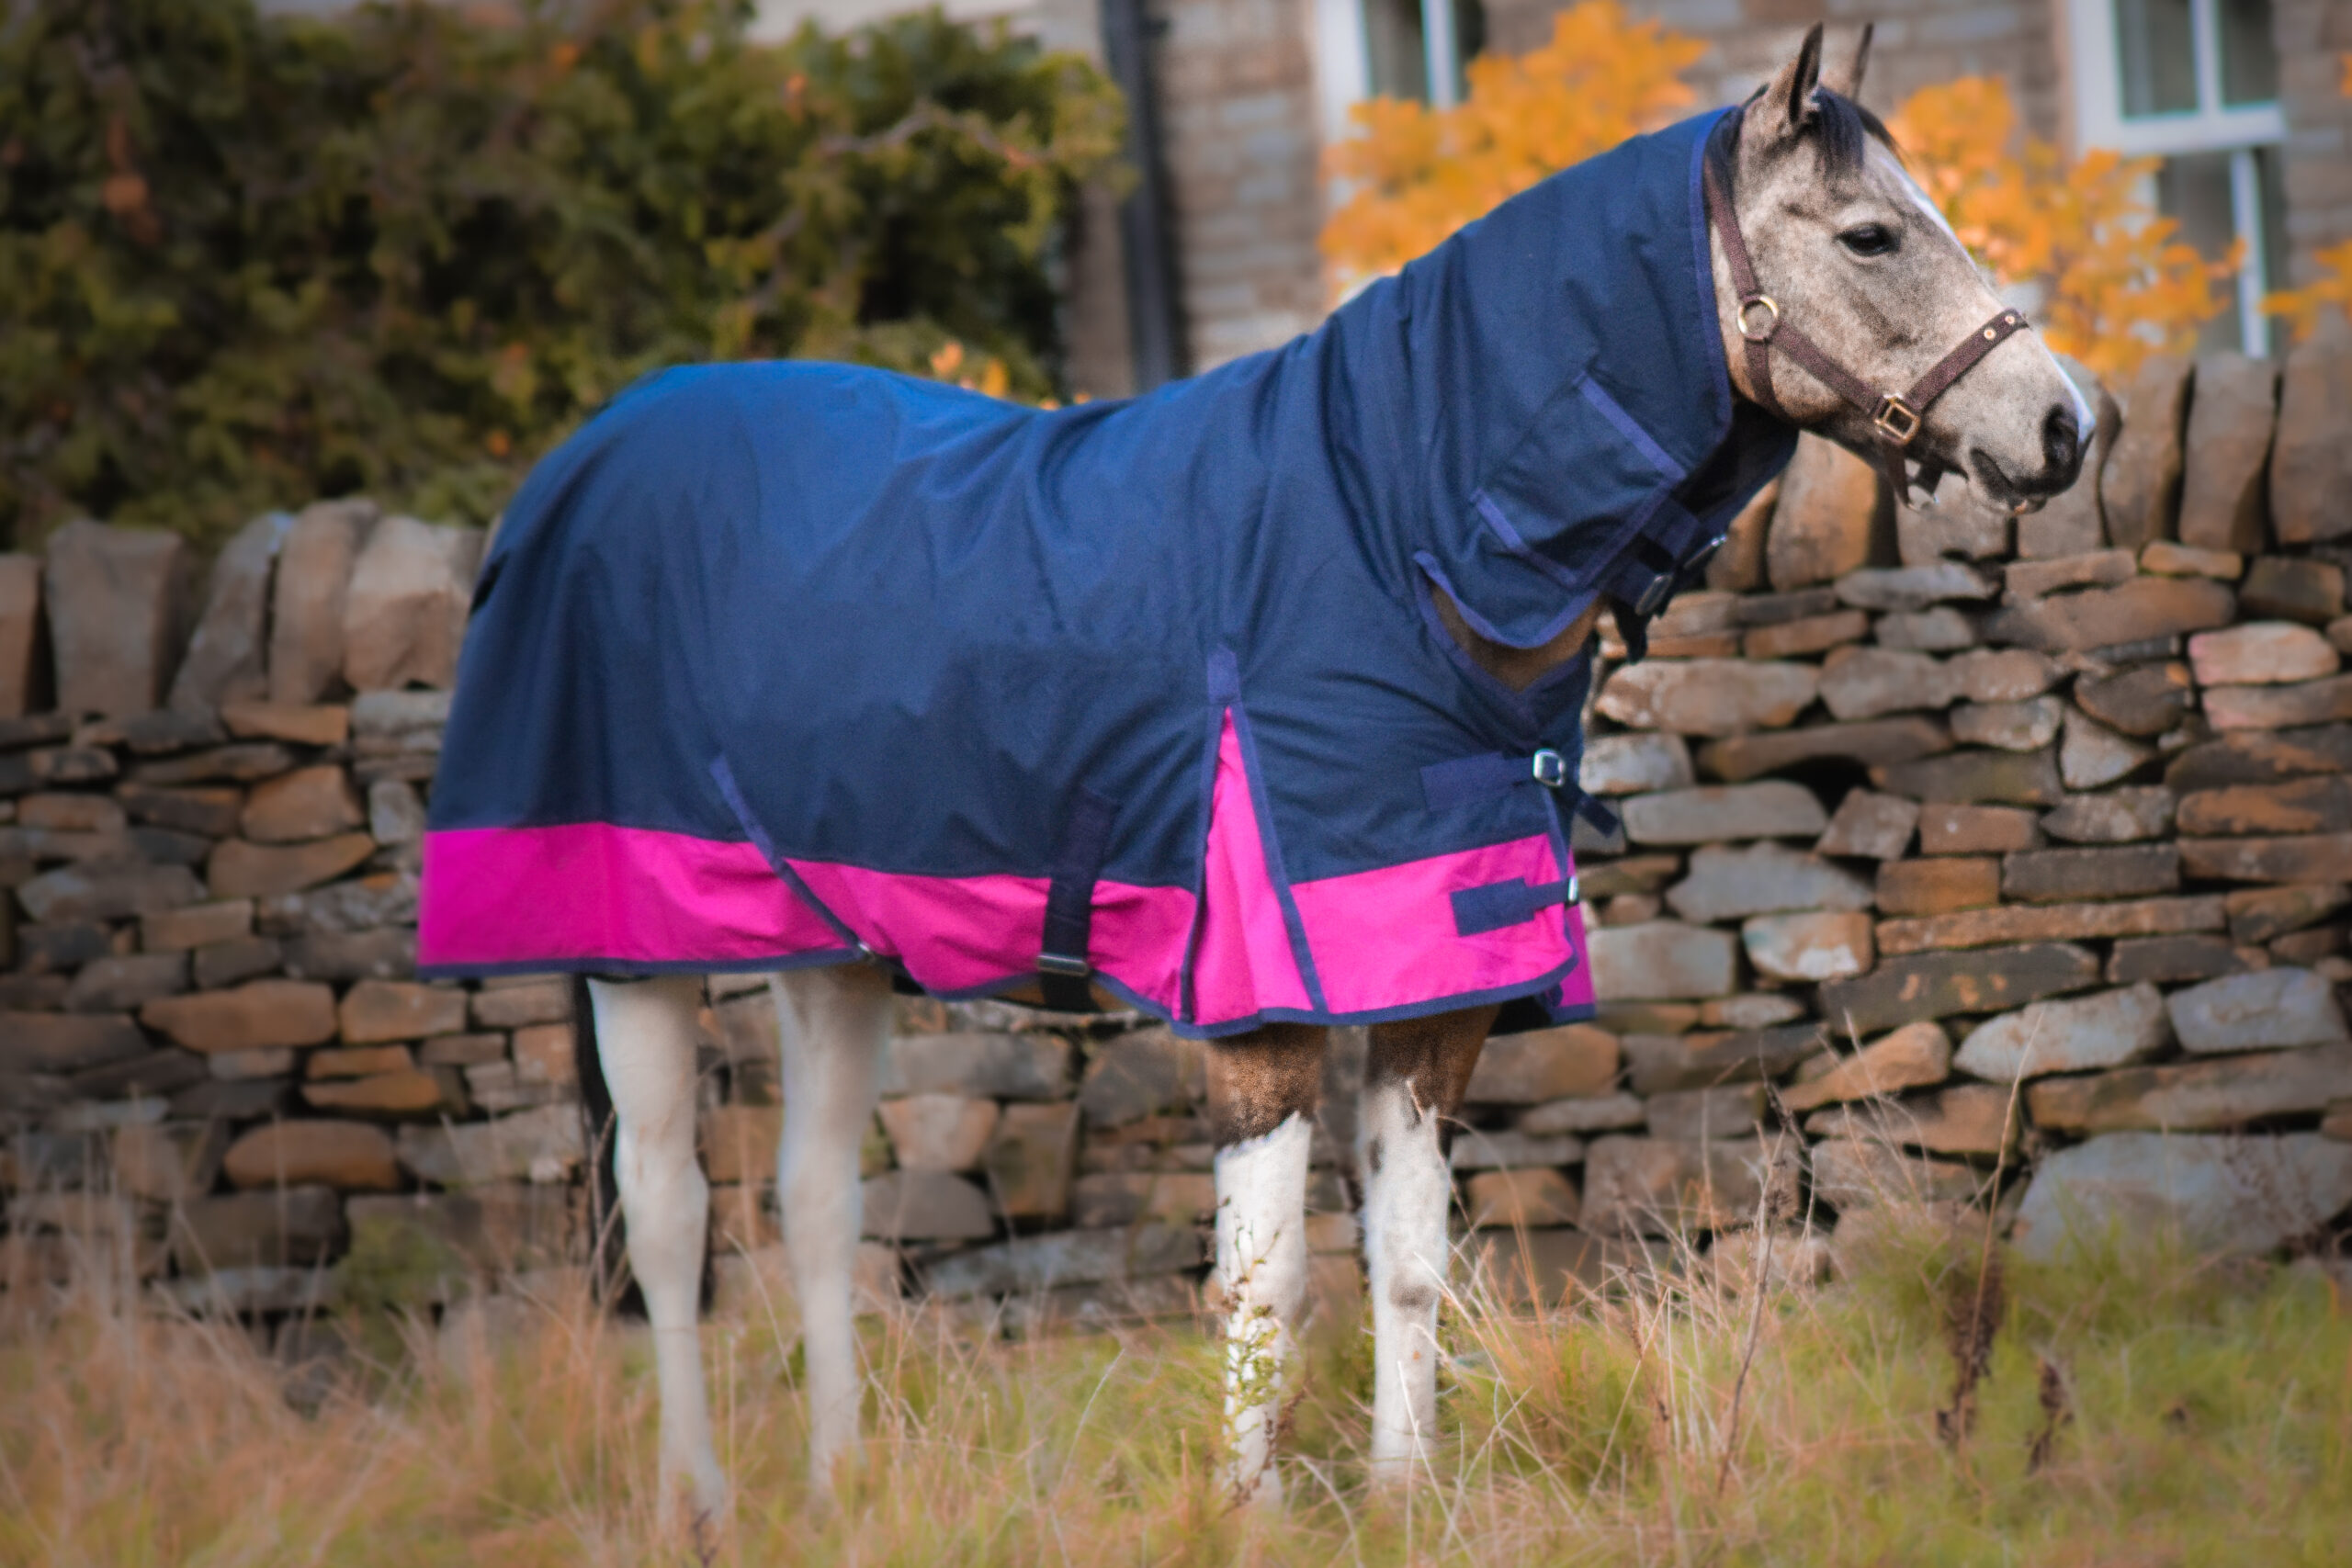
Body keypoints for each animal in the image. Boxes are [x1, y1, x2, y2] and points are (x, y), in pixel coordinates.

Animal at [416, 23, 2090, 1540]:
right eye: (1871, 232)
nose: (2069, 424)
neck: (1393, 540)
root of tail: (576, 465)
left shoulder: (1437, 986)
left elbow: (1411, 1257)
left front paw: (1408, 1496)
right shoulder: (1263, 1001)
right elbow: (1265, 1272)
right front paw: (1254, 1506)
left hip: (832, 949)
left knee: (815, 1203)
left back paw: (835, 1487)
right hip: (635, 947)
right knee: (669, 1217)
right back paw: (699, 1500)